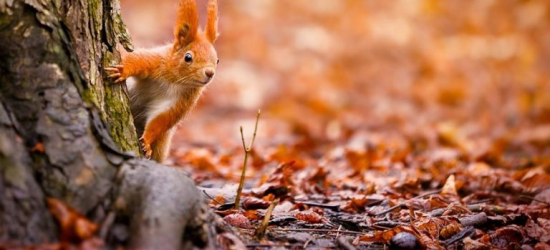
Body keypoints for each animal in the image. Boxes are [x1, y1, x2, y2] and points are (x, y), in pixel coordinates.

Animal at [106, 0, 219, 162]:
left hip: (161, 144)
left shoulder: (182, 100)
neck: (175, 81)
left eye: (217, 60)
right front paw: (123, 70)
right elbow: (137, 60)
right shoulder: (155, 62)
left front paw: (146, 141)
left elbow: (161, 120)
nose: (210, 73)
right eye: (188, 57)